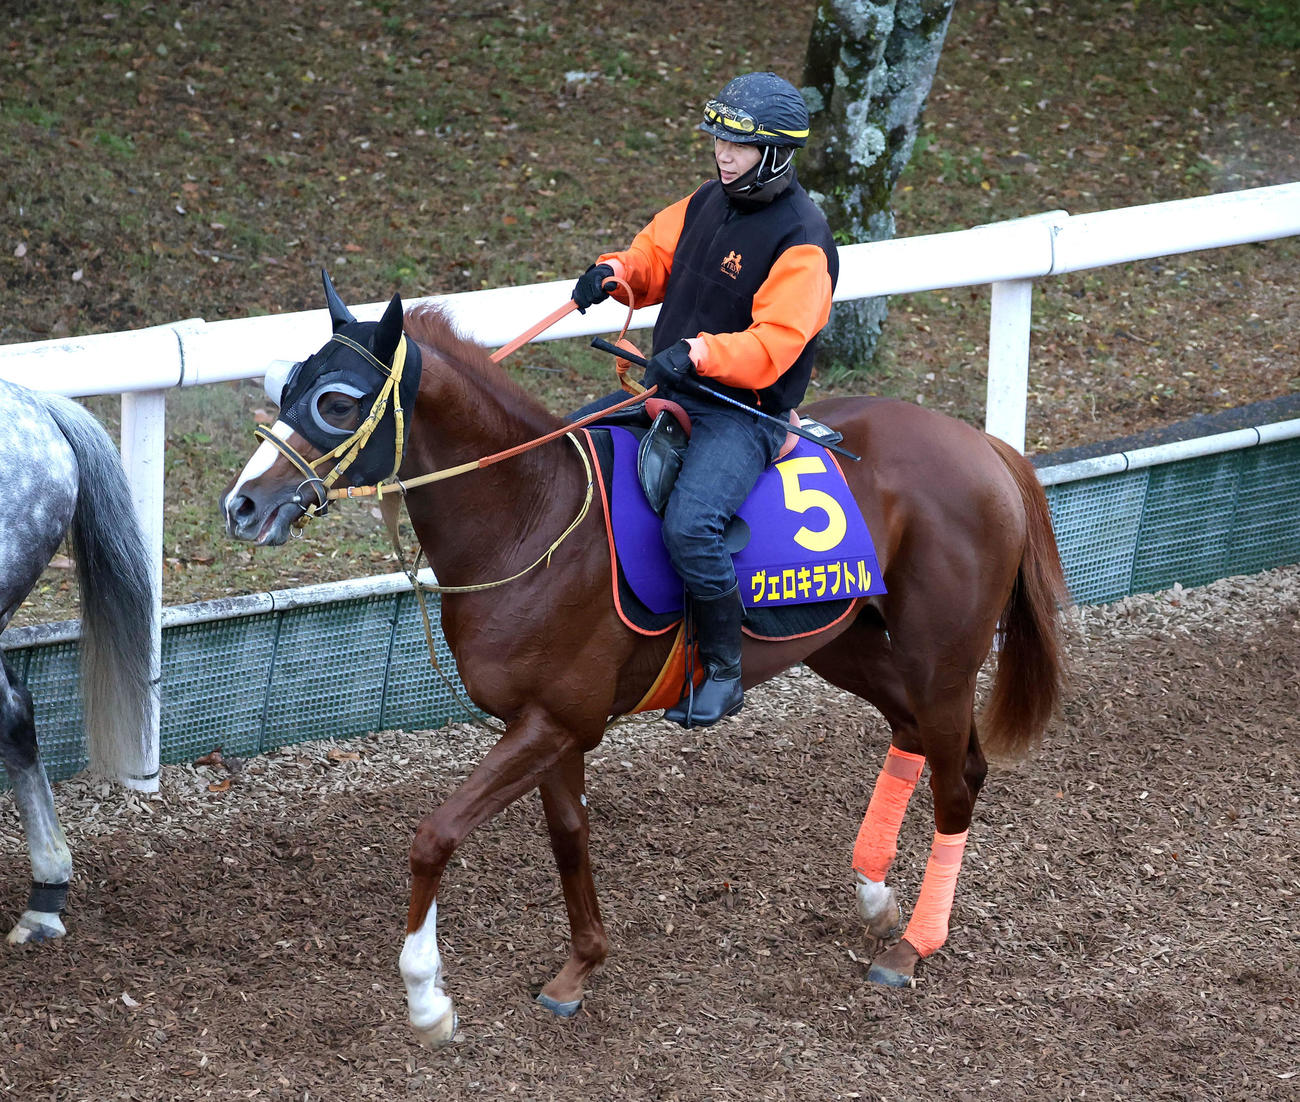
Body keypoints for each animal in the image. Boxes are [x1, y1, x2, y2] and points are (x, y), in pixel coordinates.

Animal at [221, 276, 1069, 1050]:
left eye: (338, 402)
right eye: (287, 384)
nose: (243, 506)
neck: (531, 518)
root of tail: (985, 447)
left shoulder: (554, 722)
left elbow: (434, 837)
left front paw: (429, 1001)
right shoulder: (548, 726)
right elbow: (569, 836)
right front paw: (580, 966)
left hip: (942, 658)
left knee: (956, 782)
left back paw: (913, 945)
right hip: (844, 640)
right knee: (915, 736)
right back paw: (872, 891)